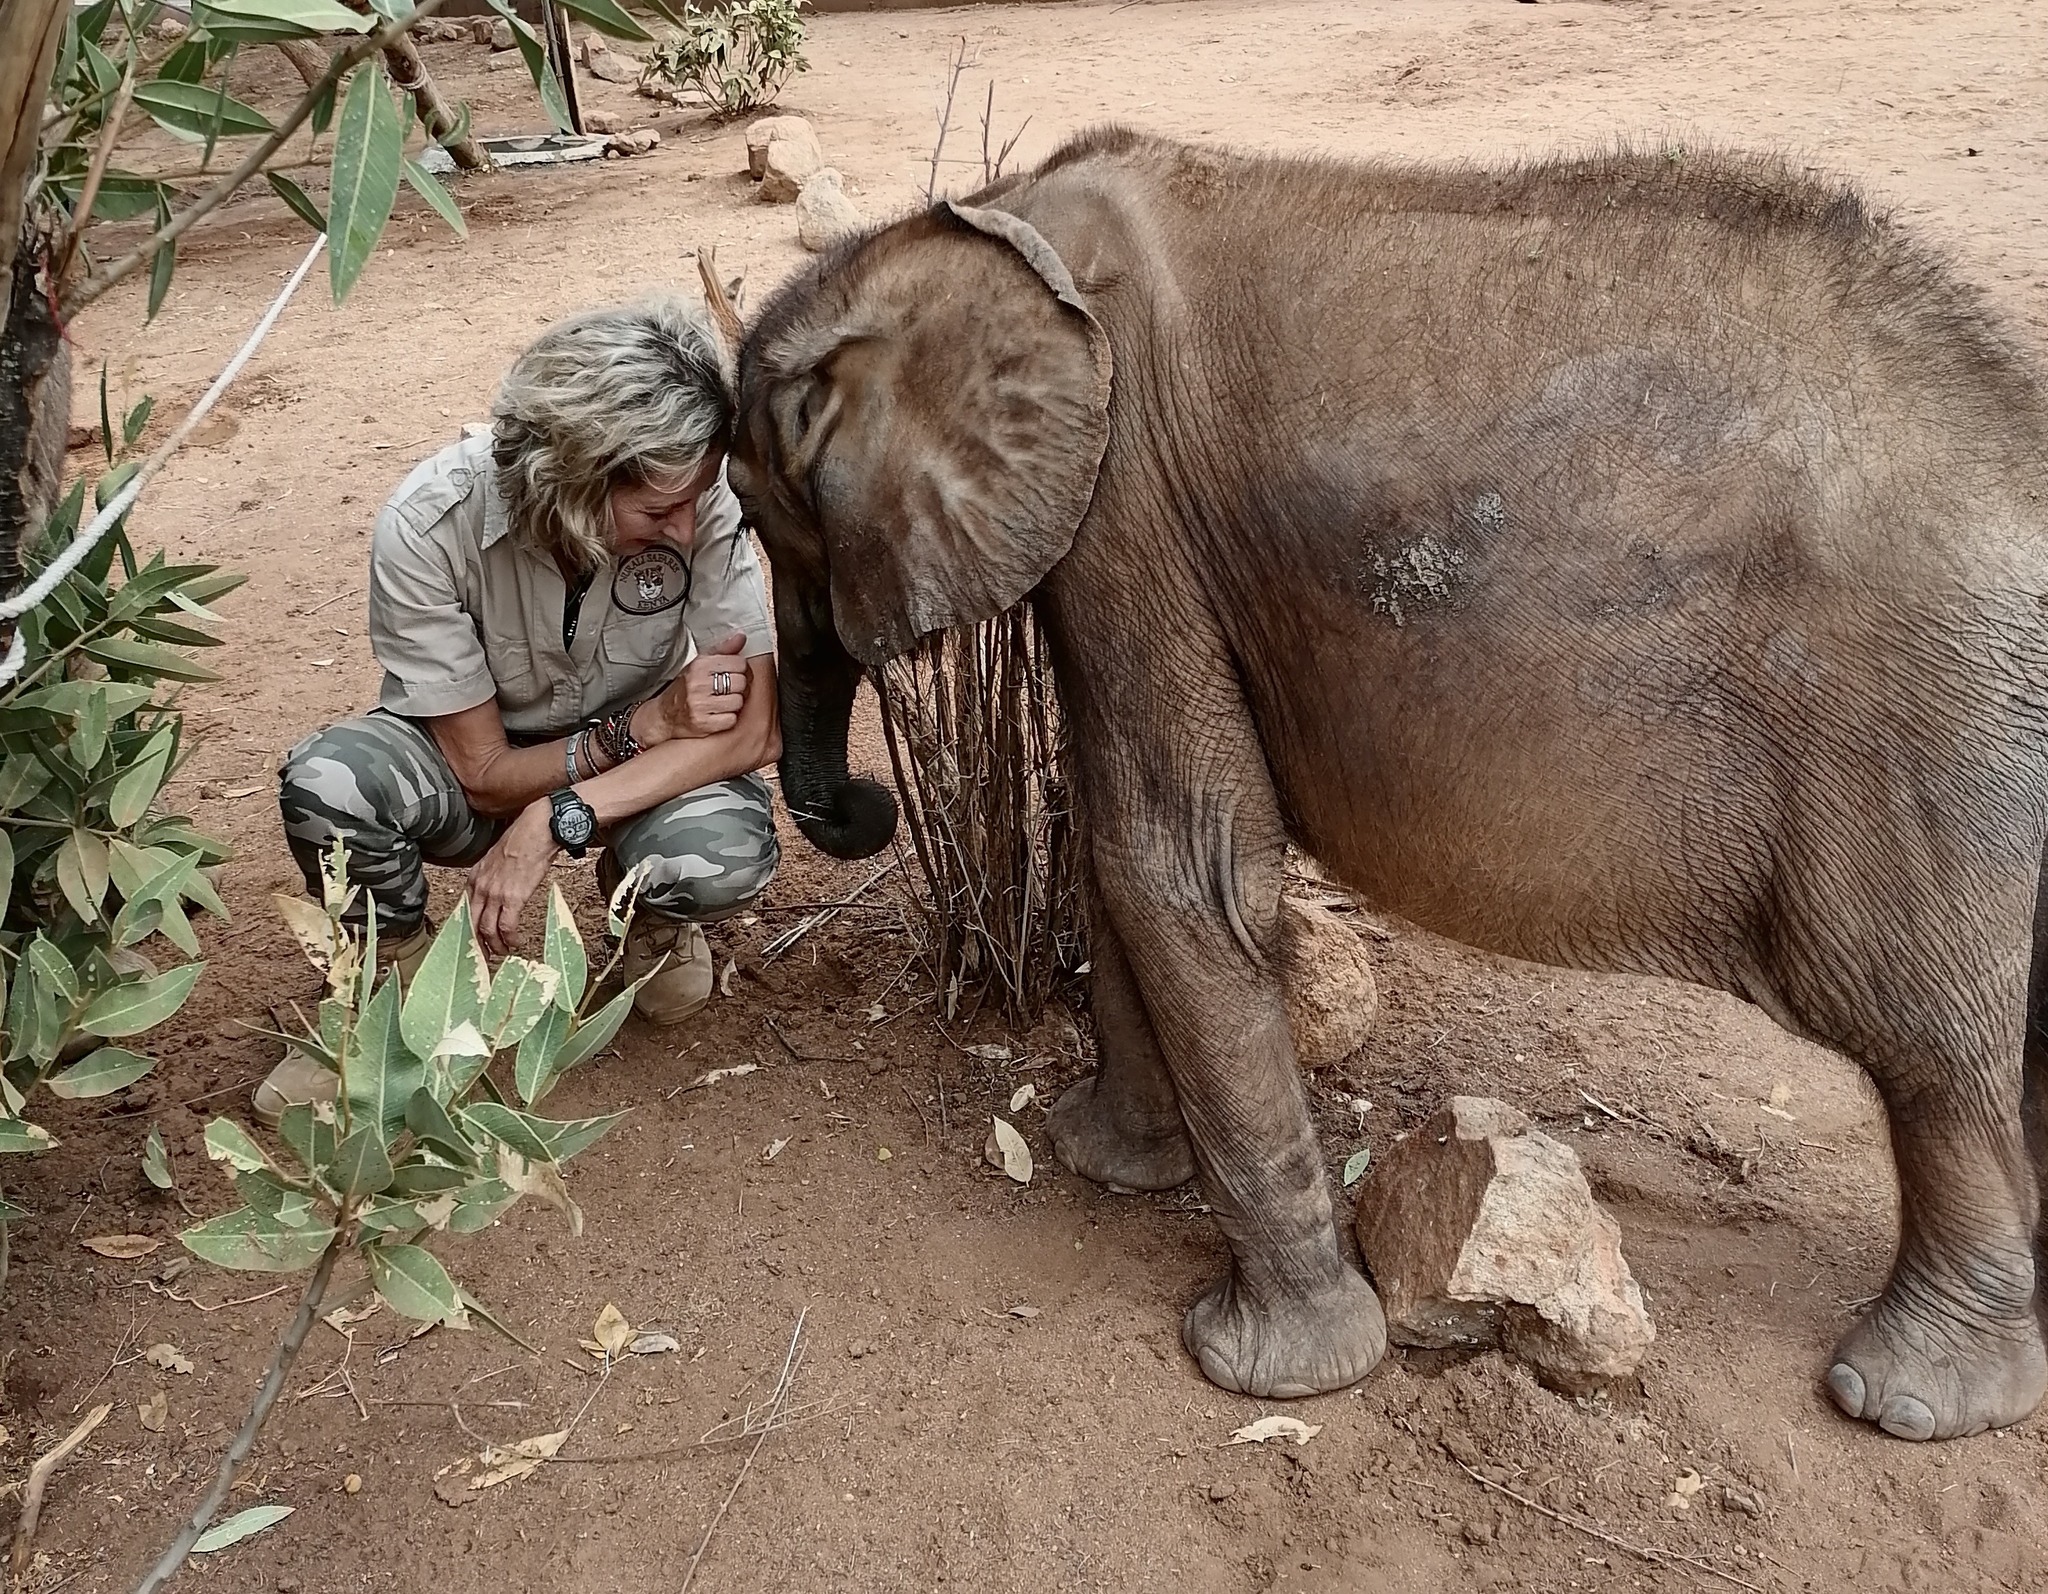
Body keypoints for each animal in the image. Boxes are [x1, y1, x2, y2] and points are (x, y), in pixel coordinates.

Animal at [716, 130, 2048, 1434]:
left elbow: (1178, 866)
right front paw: (1105, 1162)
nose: (859, 806)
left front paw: (1266, 1372)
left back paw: (1904, 1401)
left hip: (1917, 732)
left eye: (756, 513)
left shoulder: (1133, 507)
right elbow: (1121, 851)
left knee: (1921, 1037)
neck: (967, 223)